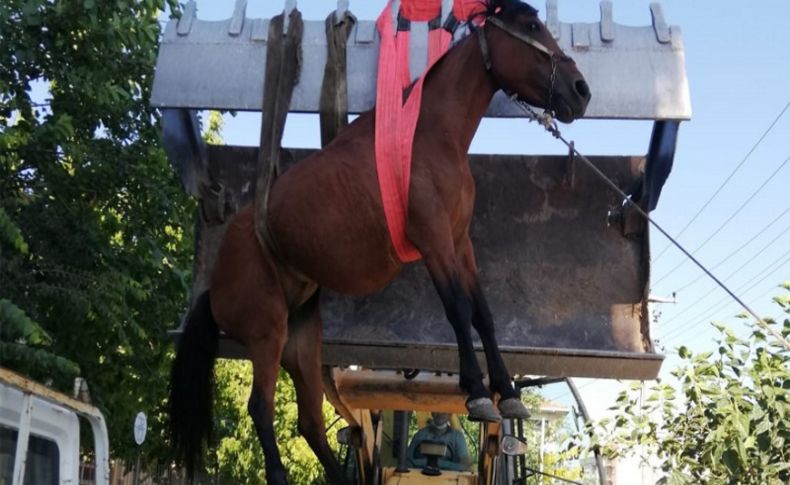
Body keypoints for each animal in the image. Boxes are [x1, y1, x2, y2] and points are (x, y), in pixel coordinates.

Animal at [170, 1, 592, 482]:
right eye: (532, 26)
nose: (581, 90)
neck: (426, 136)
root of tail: (215, 283)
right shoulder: (434, 241)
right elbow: (458, 309)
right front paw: (478, 391)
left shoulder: (460, 241)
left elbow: (483, 314)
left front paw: (507, 391)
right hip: (267, 334)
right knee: (261, 408)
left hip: (301, 342)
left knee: (309, 420)